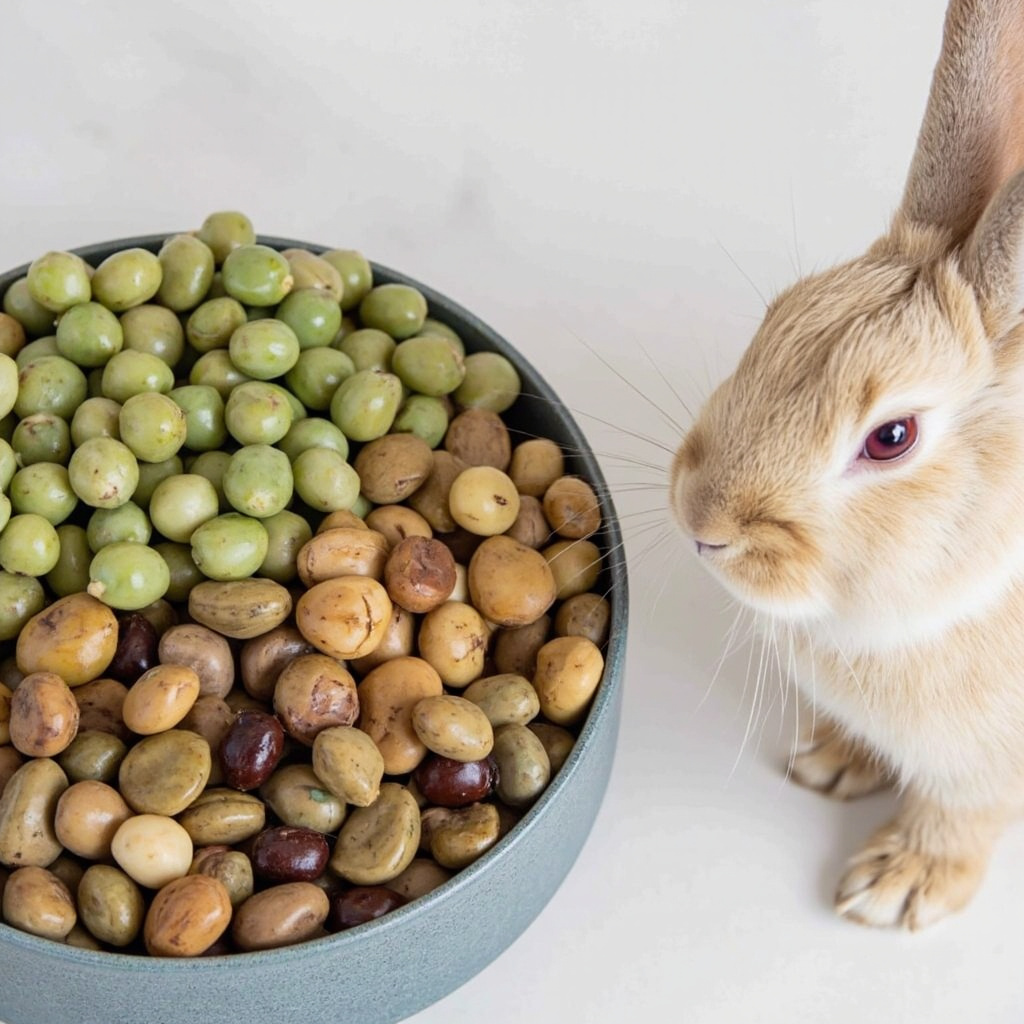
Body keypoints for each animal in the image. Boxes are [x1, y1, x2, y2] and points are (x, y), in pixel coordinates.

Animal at [669, 0, 1024, 930]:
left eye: (890, 438)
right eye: (776, 316)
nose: (702, 522)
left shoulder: (985, 774)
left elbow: (960, 817)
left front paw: (893, 890)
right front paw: (826, 765)